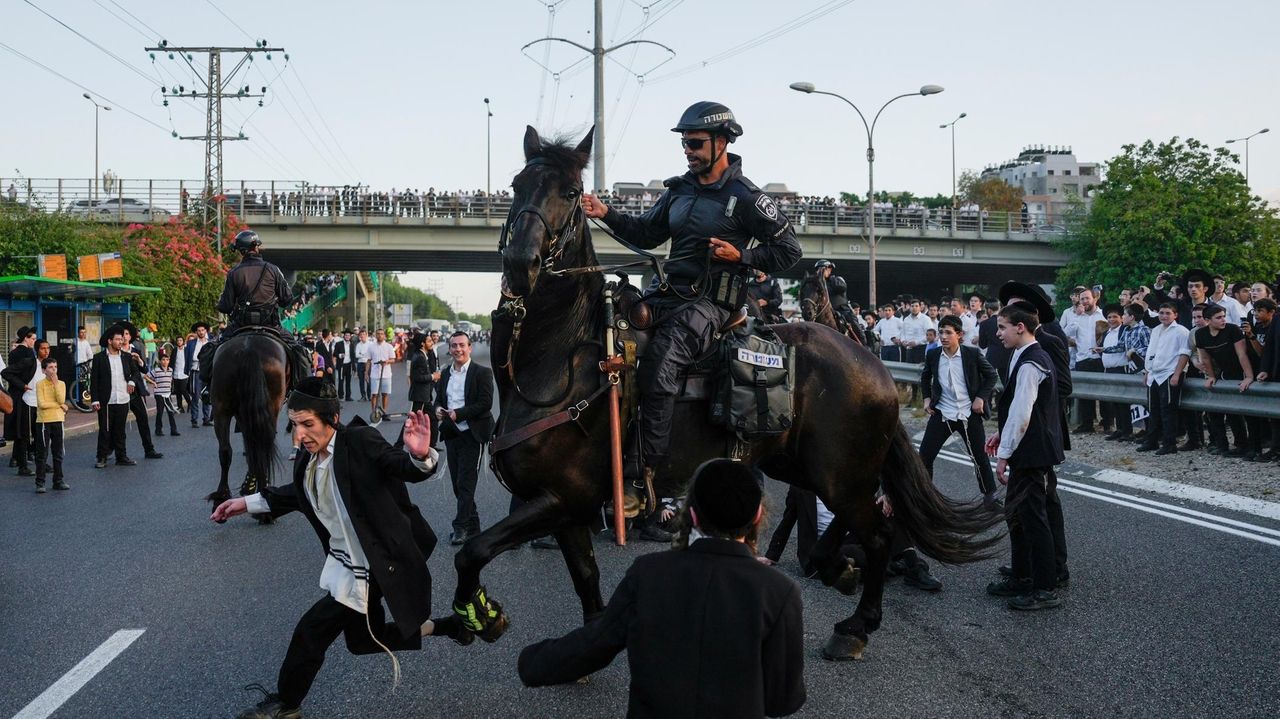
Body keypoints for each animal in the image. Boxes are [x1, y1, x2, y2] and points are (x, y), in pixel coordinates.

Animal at [204, 332, 288, 511]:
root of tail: (249, 349)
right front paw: (251, 484)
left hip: (221, 408)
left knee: (225, 450)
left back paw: (221, 496)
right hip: (270, 406)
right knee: (262, 446)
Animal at [450, 126, 998, 660]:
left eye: (569, 191)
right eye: (517, 185)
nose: (520, 263)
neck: (561, 356)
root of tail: (872, 362)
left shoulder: (563, 497)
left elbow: (472, 552)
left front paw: (478, 614)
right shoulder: (562, 504)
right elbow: (583, 577)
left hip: (842, 472)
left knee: (879, 533)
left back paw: (856, 625)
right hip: (803, 465)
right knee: (852, 524)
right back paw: (836, 568)